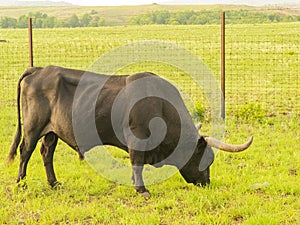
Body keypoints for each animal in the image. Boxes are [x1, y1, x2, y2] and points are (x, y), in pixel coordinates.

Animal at [8, 65, 253, 197]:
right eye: (207, 159)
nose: (206, 183)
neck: (161, 105)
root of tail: (40, 69)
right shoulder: (137, 139)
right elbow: (137, 164)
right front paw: (141, 189)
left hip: (52, 132)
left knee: (46, 153)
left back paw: (54, 183)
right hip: (33, 127)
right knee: (25, 151)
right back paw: (21, 182)